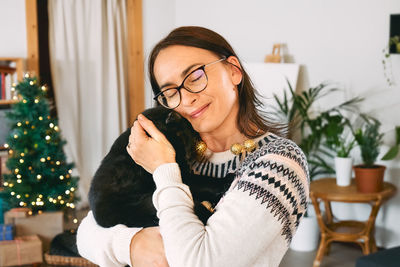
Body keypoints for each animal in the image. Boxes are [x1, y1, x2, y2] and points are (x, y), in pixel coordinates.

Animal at [89, 107, 234, 228]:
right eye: (191, 133)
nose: (187, 160)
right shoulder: (184, 177)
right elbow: (205, 181)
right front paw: (228, 179)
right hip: (149, 202)